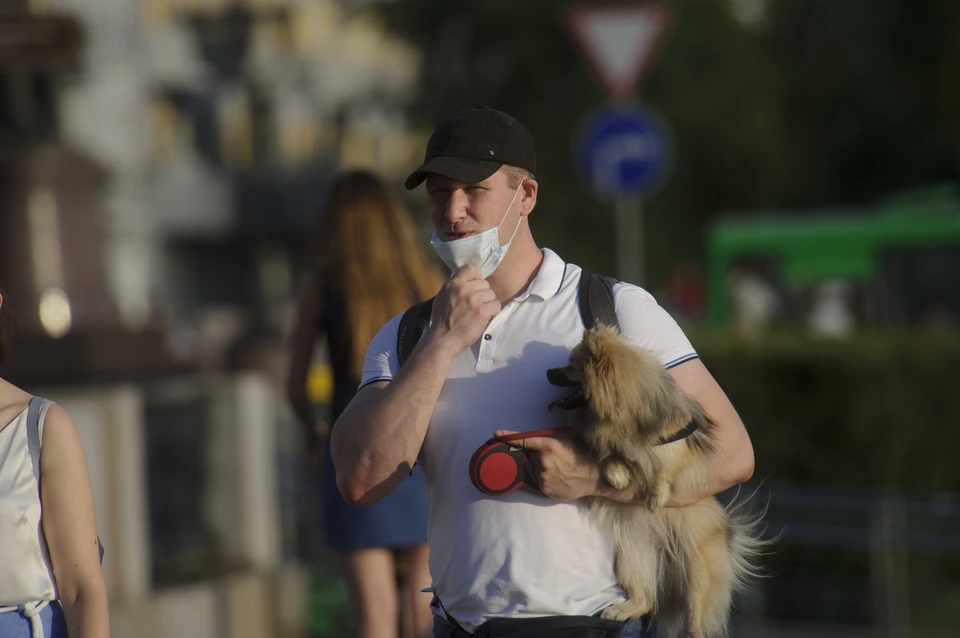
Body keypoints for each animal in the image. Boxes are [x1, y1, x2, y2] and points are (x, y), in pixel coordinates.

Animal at [548, 328, 764, 636]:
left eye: (571, 368)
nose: (548, 372)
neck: (620, 421)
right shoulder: (598, 442)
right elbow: (609, 456)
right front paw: (618, 474)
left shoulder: (678, 448)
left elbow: (667, 469)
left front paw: (657, 495)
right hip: (632, 557)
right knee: (646, 599)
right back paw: (621, 610)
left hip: (697, 570)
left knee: (694, 618)